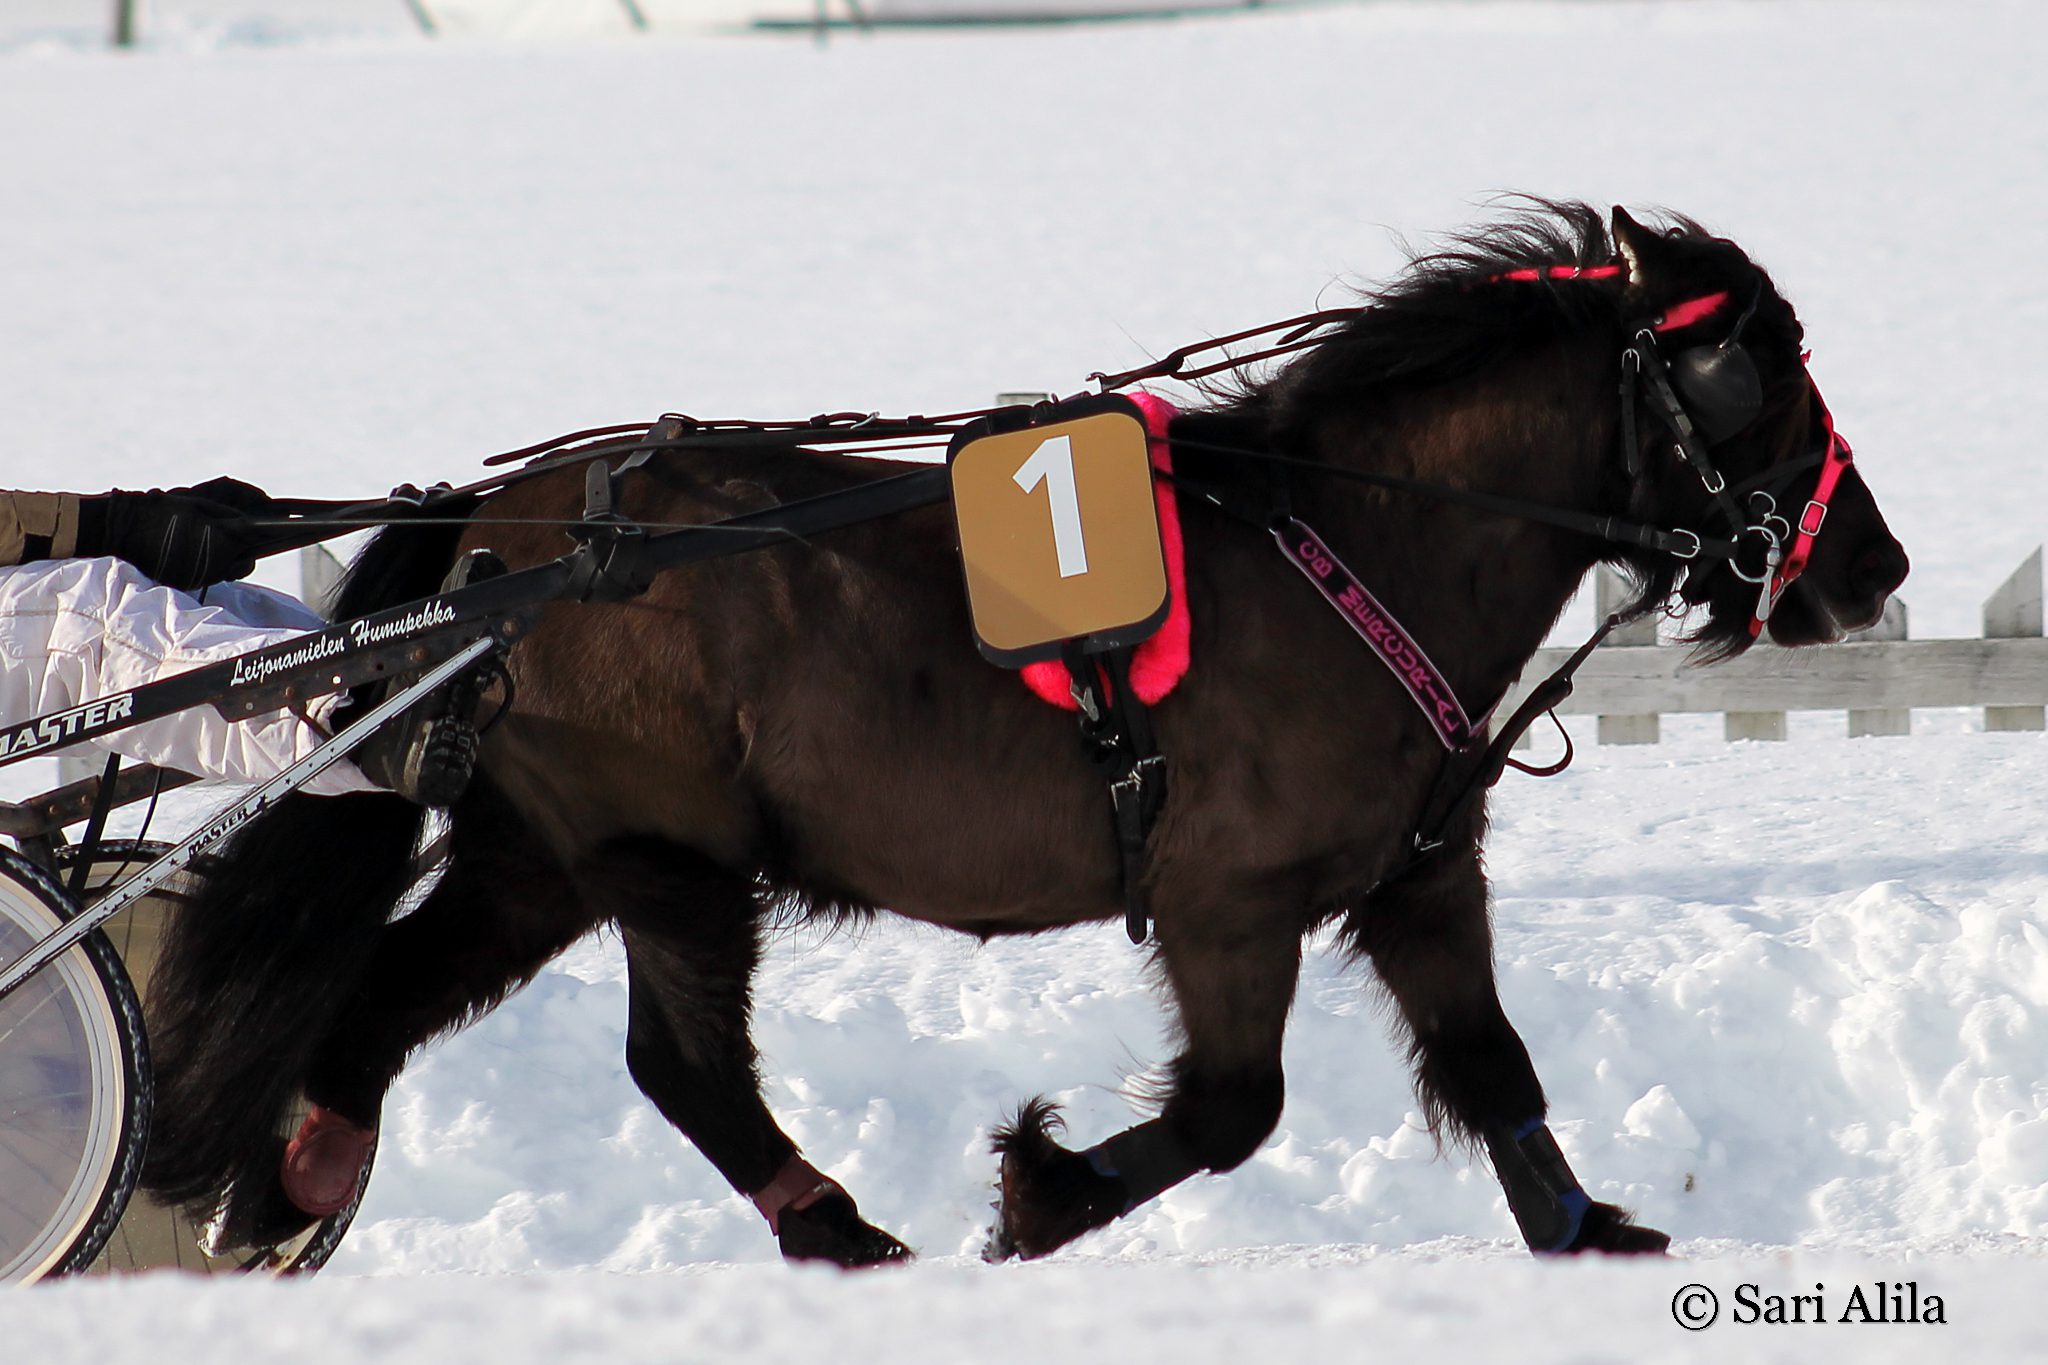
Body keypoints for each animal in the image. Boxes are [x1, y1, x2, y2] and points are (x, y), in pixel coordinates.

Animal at [139, 202, 1908, 1266]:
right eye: (1757, 375)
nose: (1872, 565)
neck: (1350, 543)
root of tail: (501, 532)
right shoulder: (1223, 901)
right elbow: (1232, 1108)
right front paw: (1045, 1192)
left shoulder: (1418, 875)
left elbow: (1489, 1055)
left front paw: (1583, 1225)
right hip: (668, 855)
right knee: (681, 1059)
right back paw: (833, 1227)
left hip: (547, 857)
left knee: (381, 998)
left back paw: (295, 1178)